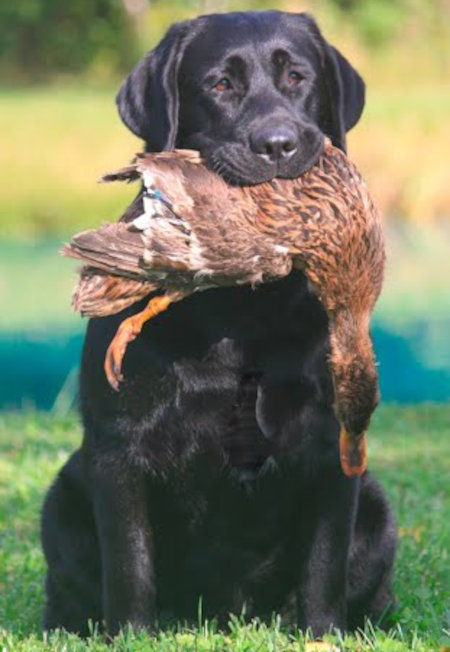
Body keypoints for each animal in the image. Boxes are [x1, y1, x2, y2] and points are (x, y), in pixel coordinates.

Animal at [42, 10, 396, 636]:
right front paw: (132, 639)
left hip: (377, 512)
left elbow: (323, 567)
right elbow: (129, 565)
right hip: (60, 503)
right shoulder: (117, 454)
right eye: (219, 85)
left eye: (298, 77)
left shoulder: (329, 454)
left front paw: (322, 638)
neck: (240, 319)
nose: (278, 145)